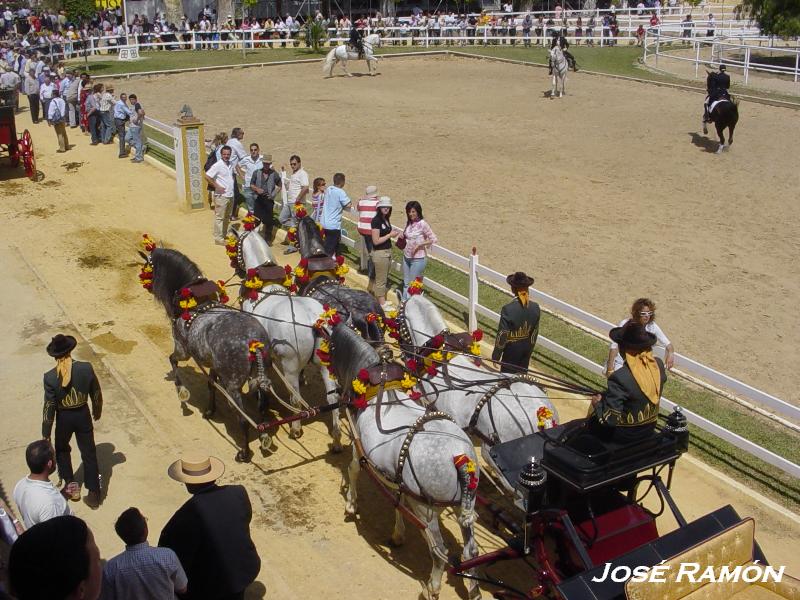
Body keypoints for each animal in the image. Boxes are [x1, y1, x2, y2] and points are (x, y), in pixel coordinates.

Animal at [231, 227, 344, 452]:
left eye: (236, 245)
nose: (237, 268)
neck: (264, 286)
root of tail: (313, 321)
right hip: (326, 365)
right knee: (332, 397)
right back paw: (336, 439)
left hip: (289, 366)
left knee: (296, 398)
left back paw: (296, 428)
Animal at [326, 324, 482, 600]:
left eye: (331, 345)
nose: (332, 381)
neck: (377, 389)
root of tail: (458, 456)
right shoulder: (398, 479)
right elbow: (397, 502)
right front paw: (398, 534)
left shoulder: (358, 446)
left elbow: (353, 470)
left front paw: (351, 504)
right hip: (465, 504)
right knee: (470, 551)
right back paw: (473, 589)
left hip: (427, 511)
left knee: (439, 551)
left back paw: (432, 587)